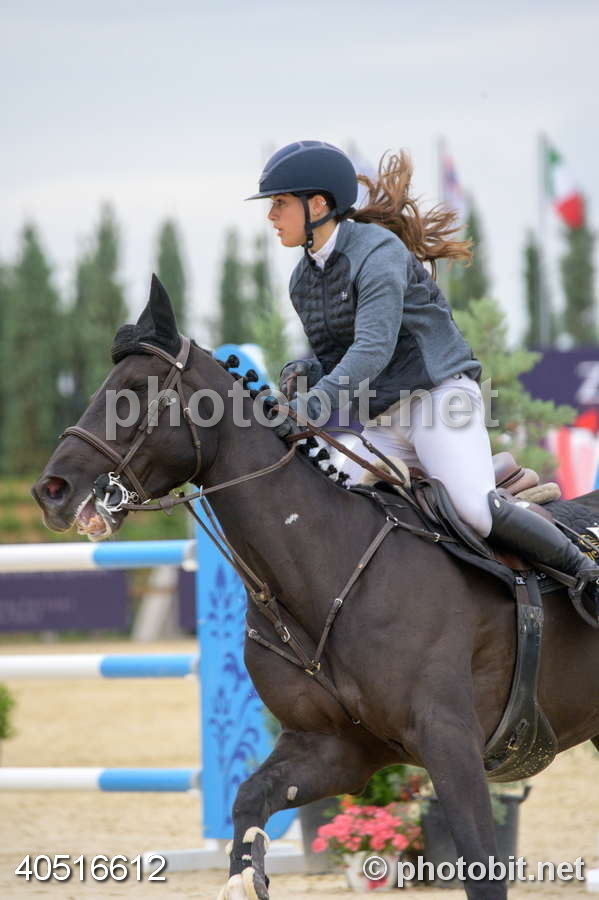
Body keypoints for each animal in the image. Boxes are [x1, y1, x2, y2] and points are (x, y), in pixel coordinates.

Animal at [32, 277, 599, 900]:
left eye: (135, 390)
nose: (52, 491)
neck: (327, 575)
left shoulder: (450, 742)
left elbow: (481, 868)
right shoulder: (334, 748)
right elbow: (250, 800)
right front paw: (247, 875)